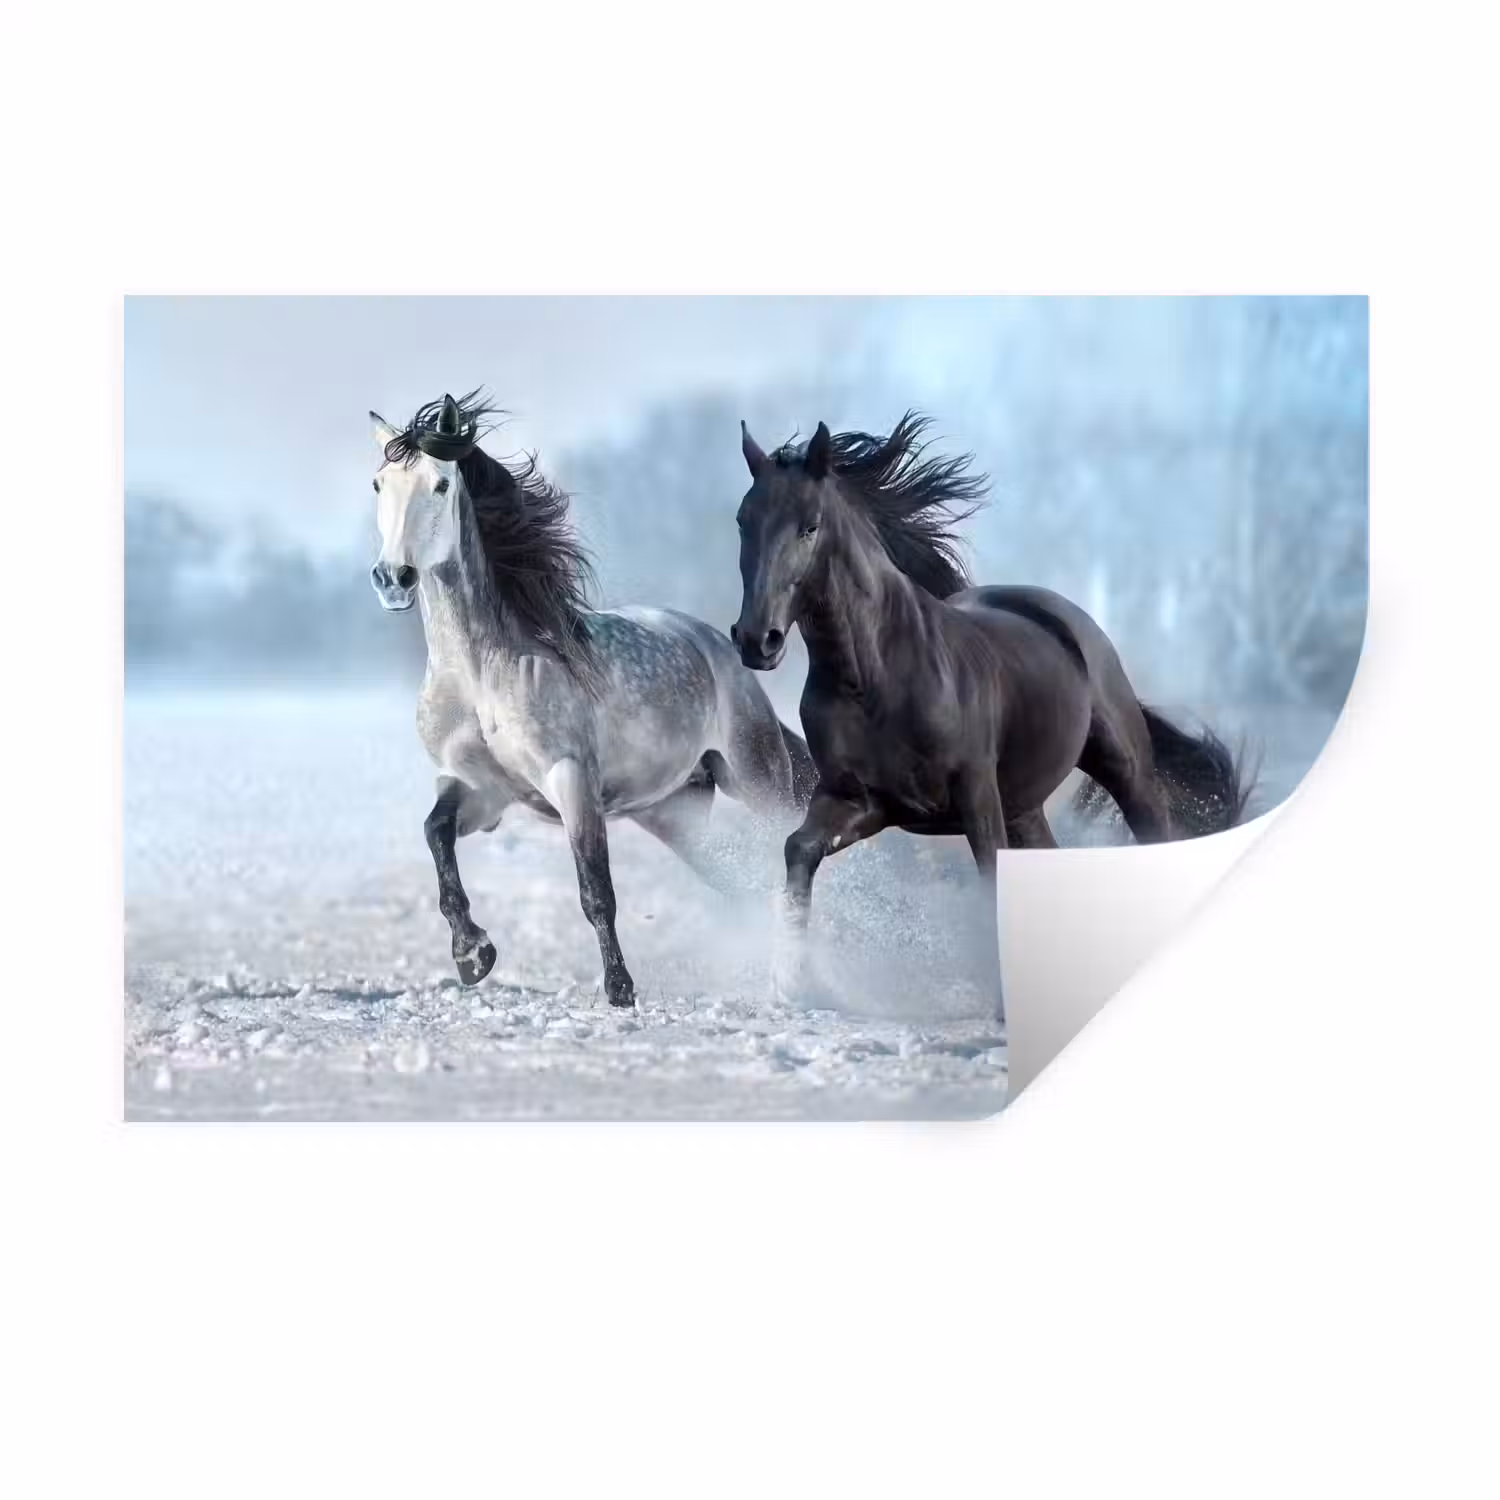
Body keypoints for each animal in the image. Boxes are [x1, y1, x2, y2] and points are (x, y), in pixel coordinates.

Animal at [368, 390, 816, 1008]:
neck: (481, 675)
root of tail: (717, 646)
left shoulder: (571, 781)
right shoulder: (480, 790)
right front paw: (473, 954)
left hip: (758, 779)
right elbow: (436, 837)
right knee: (742, 882)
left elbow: (595, 890)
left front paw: (620, 989)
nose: (394, 578)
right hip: (673, 813)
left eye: (439, 484)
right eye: (378, 484)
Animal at [730, 412, 1251, 1024]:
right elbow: (799, 849)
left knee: (1154, 832)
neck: (875, 676)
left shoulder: (975, 797)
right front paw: (791, 981)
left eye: (809, 527)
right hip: (1025, 807)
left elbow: (989, 880)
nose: (756, 640)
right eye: (743, 522)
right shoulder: (859, 801)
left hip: (1124, 771)